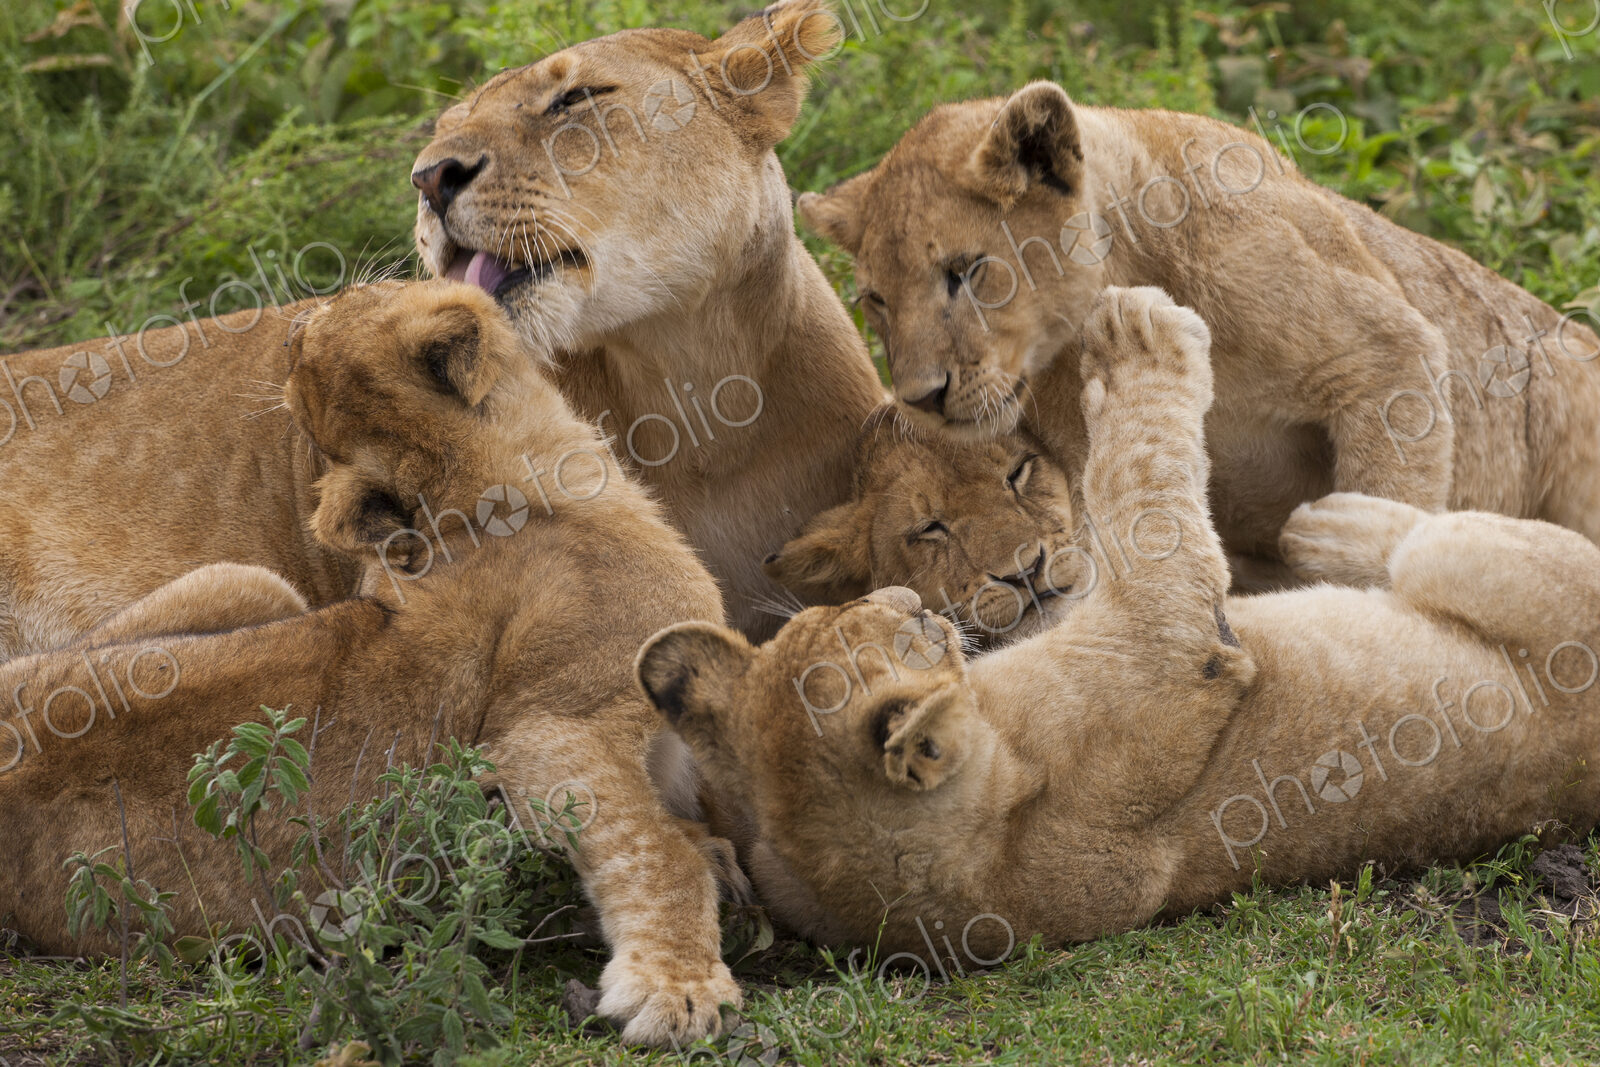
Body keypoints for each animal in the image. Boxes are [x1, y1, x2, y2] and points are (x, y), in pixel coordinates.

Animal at [0, 280, 743, 1046]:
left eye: (340, 309)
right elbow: (652, 849)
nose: (295, 318)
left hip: (242, 584)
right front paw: (678, 989)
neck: (473, 498)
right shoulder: (552, 730)